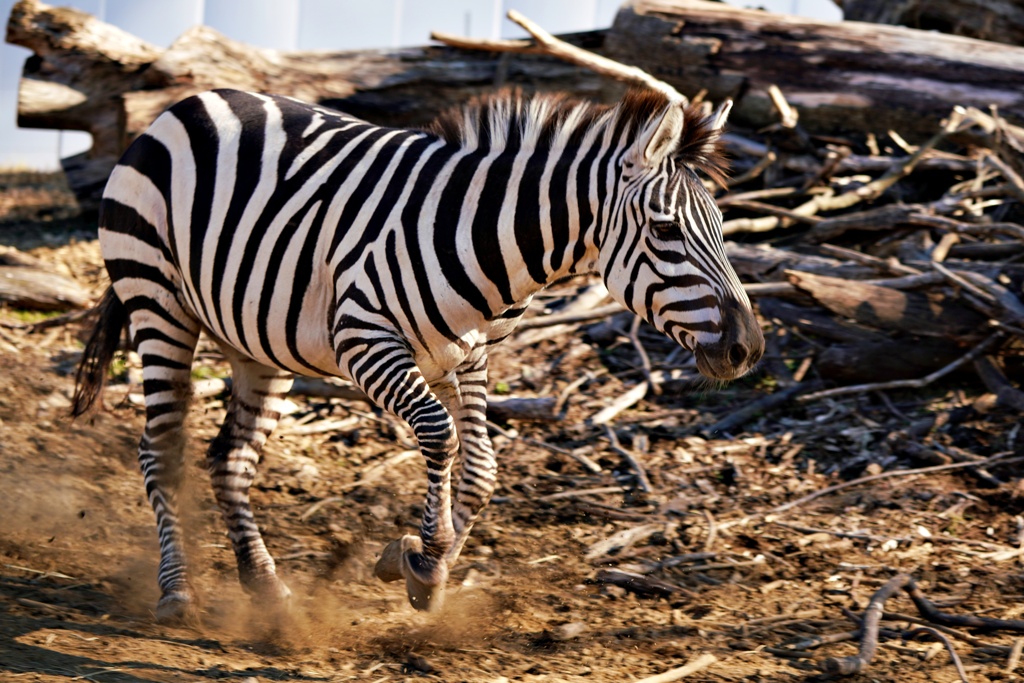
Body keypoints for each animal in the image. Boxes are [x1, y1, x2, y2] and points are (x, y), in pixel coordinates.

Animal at [70, 83, 761, 618]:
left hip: (258, 342)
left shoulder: (470, 354)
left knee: (230, 461)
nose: (747, 350)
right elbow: (438, 435)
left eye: (723, 229)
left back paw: (265, 588)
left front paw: (419, 564)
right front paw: (423, 560)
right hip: (156, 299)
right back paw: (176, 594)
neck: (488, 237)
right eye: (666, 231)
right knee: (161, 450)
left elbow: (482, 468)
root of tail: (187, 102)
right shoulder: (364, 337)